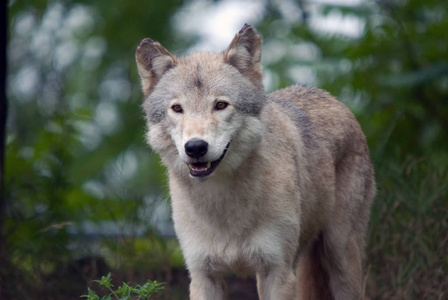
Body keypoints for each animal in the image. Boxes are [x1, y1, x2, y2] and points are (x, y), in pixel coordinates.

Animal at [136, 24, 374, 300]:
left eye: (220, 105)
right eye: (177, 108)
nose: (195, 147)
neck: (223, 203)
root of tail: (328, 95)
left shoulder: (278, 273)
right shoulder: (203, 276)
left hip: (339, 254)